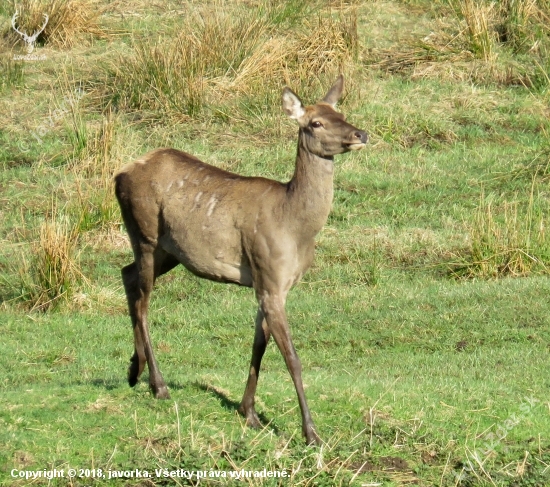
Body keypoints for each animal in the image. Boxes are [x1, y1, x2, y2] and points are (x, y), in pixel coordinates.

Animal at [114, 76, 368, 446]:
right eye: (316, 123)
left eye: (341, 113)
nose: (360, 134)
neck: (295, 226)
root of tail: (118, 174)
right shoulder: (269, 276)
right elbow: (292, 358)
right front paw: (311, 434)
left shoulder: (272, 284)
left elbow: (258, 346)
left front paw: (249, 412)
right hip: (144, 233)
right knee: (143, 301)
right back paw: (158, 384)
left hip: (168, 250)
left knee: (127, 274)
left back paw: (135, 370)